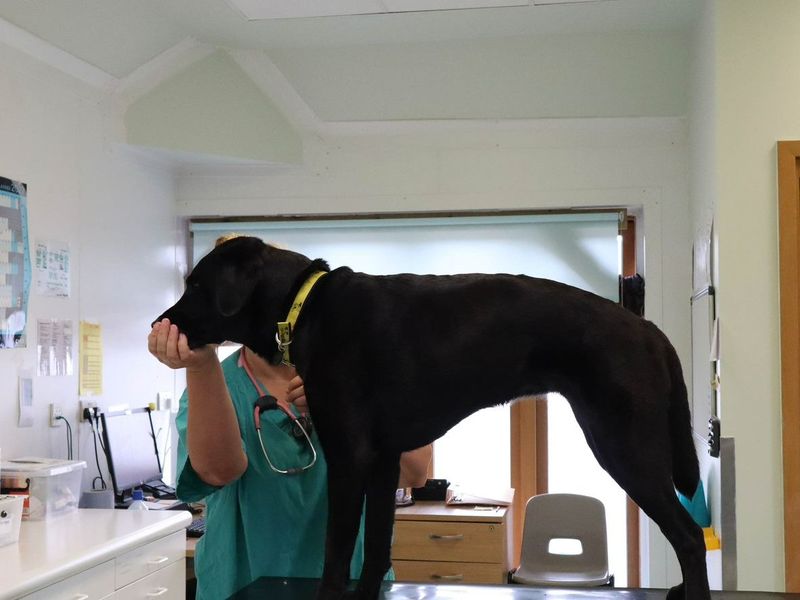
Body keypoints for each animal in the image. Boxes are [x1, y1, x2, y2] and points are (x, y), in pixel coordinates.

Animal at [158, 237, 712, 600]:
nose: (158, 323)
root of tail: (648, 329)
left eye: (196, 284)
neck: (305, 306)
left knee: (688, 536)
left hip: (623, 445)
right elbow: (376, 549)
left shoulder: (349, 459)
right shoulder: (382, 461)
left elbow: (336, 555)